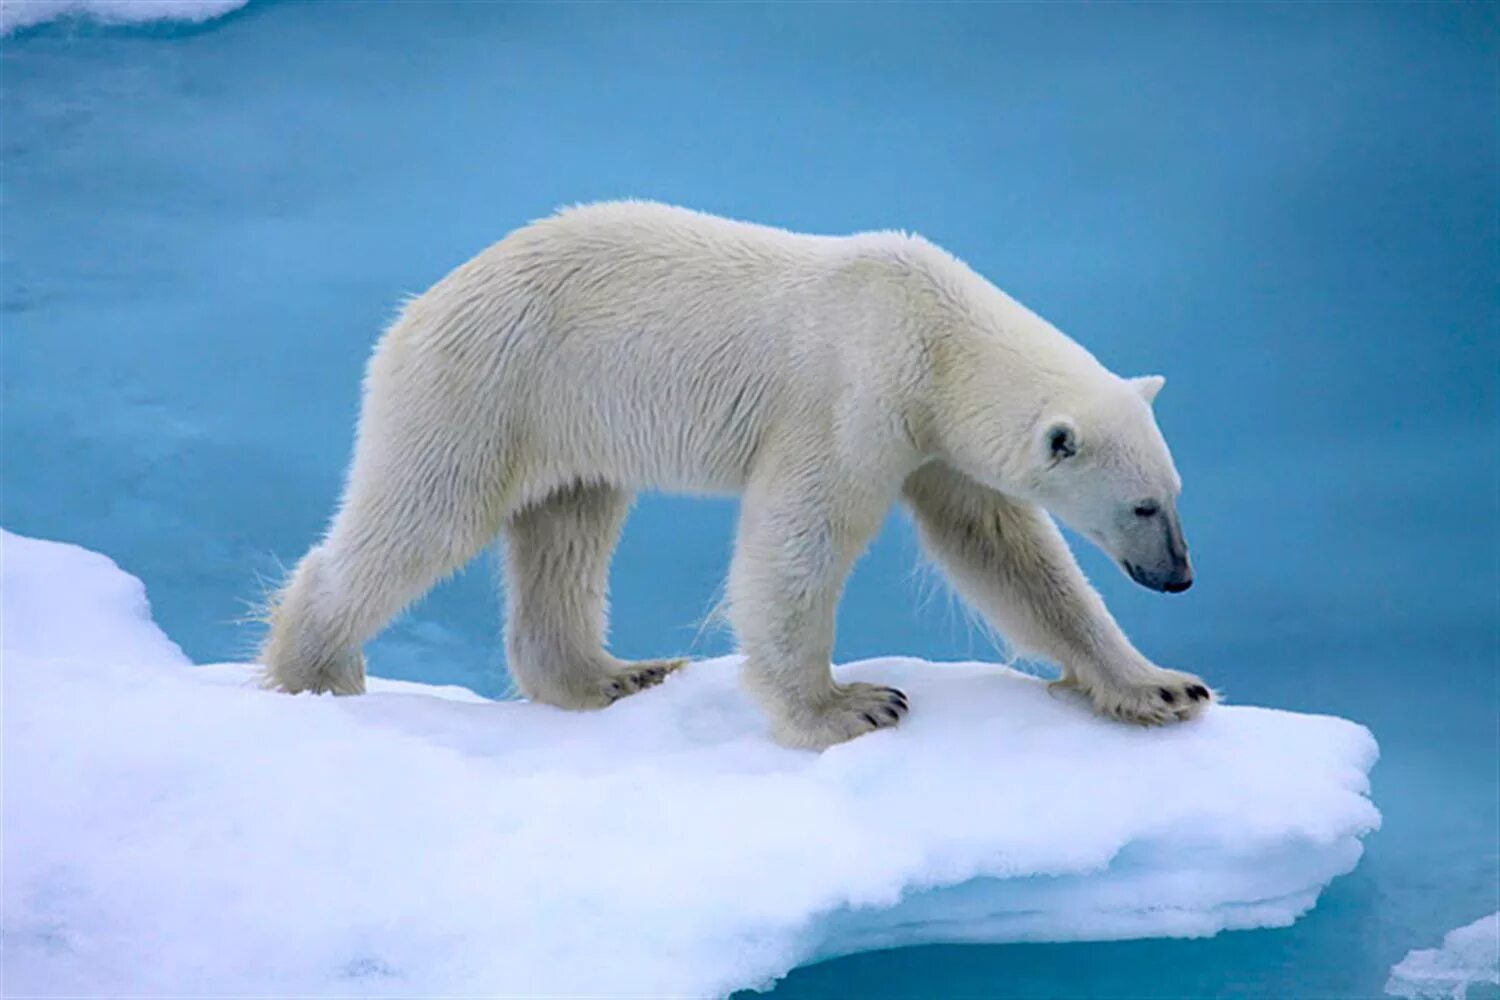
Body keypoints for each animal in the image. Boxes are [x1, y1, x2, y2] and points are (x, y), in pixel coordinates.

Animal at [261, 200, 1206, 749]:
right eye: (1141, 506)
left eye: (1174, 496)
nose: (1179, 576)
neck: (931, 330)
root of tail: (416, 311)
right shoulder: (850, 397)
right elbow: (798, 539)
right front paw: (849, 708)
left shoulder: (933, 439)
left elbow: (1007, 554)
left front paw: (1161, 687)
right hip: (487, 386)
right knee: (426, 515)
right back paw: (316, 671)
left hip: (565, 421)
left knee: (567, 528)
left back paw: (615, 675)